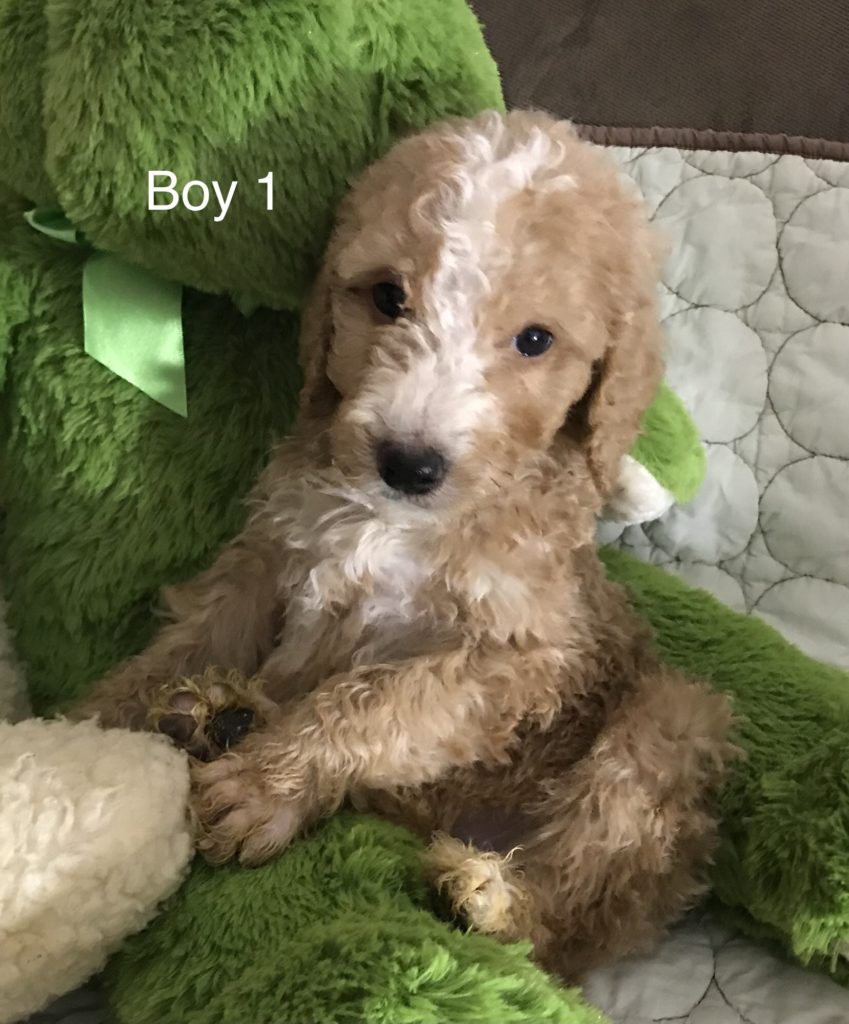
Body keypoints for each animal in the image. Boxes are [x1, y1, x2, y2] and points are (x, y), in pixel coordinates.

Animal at [74, 110, 737, 974]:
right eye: (387, 297)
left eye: (534, 341)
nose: (408, 462)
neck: (397, 519)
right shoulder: (271, 550)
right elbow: (191, 640)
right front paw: (85, 731)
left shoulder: (523, 657)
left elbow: (379, 700)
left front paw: (267, 784)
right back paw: (217, 717)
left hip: (668, 726)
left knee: (569, 918)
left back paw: (491, 897)